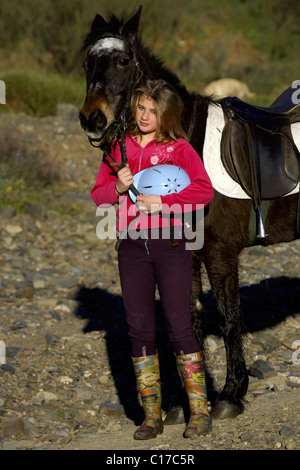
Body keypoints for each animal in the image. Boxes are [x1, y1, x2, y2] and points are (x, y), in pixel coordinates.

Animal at [79, 6, 300, 418]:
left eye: (124, 60)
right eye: (87, 63)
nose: (92, 120)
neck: (185, 137)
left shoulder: (220, 252)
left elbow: (229, 319)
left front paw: (230, 395)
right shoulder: (188, 254)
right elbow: (190, 319)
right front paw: (187, 405)